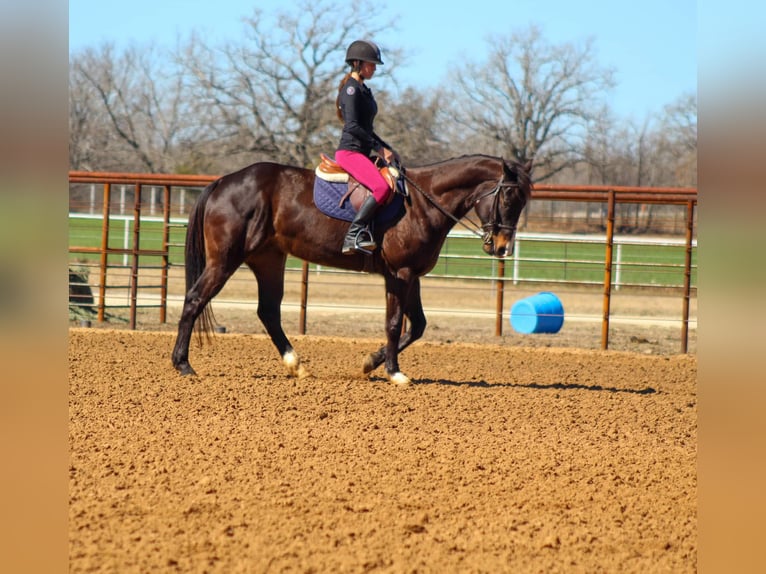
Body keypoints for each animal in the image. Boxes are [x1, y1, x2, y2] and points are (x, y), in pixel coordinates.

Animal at [173, 155, 536, 388]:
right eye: (508, 196)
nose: (502, 247)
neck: (422, 203)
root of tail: (223, 182)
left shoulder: (412, 276)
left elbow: (417, 326)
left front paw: (371, 362)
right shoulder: (399, 274)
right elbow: (394, 324)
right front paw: (394, 373)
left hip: (268, 260)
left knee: (268, 312)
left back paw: (296, 366)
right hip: (225, 260)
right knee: (194, 300)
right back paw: (183, 364)